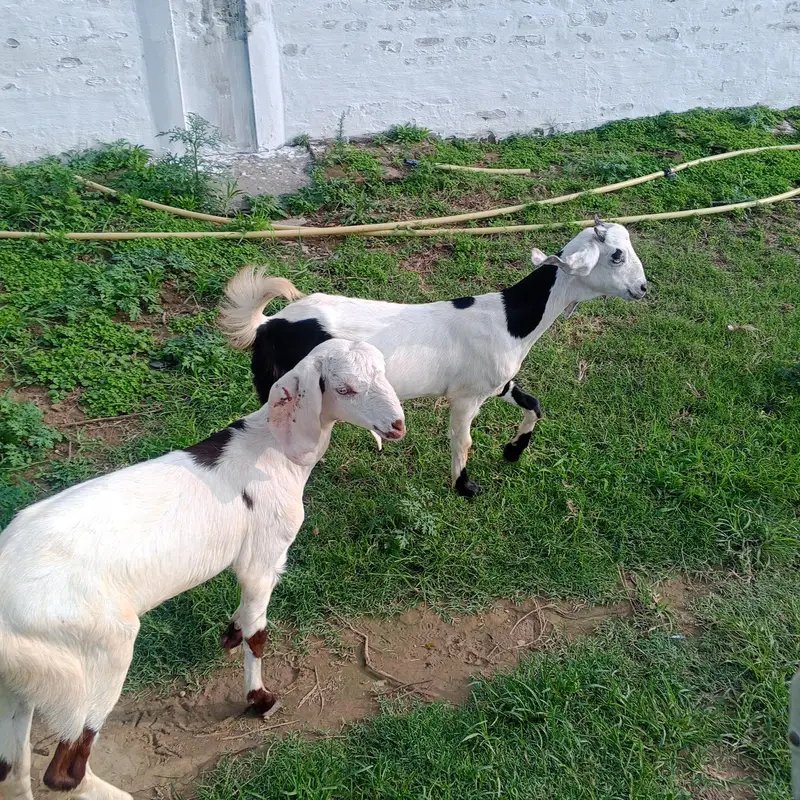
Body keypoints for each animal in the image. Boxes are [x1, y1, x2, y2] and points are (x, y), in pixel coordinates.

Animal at [0, 340, 404, 800]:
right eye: (346, 388)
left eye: (383, 372)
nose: (397, 425)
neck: (272, 450)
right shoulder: (262, 555)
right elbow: (259, 633)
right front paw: (260, 699)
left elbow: (245, 620)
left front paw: (230, 633)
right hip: (88, 659)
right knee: (66, 768)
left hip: (21, 682)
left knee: (13, 767)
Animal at [219, 218, 647, 497]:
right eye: (616, 255)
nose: (644, 288)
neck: (510, 319)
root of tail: (268, 323)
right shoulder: (466, 396)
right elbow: (463, 440)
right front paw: (465, 486)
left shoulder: (497, 383)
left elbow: (534, 404)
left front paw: (513, 451)